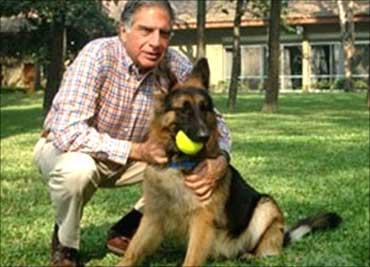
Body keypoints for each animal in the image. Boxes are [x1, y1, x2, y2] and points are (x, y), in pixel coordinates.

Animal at [118, 59, 342, 267]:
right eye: (184, 110)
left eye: (204, 109)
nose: (204, 136)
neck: (177, 163)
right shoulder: (152, 217)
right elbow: (133, 250)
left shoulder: (202, 221)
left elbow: (191, 260)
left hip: (265, 206)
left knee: (269, 251)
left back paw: (251, 255)